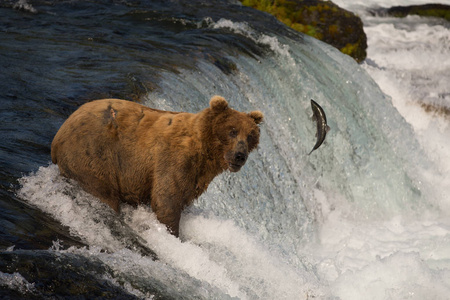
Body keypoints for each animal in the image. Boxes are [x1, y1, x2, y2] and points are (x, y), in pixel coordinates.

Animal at [50, 96, 264, 237]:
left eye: (250, 135)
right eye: (232, 131)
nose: (240, 156)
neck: (205, 152)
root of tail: (58, 135)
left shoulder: (195, 176)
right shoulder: (175, 159)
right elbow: (167, 199)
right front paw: (173, 234)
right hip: (92, 154)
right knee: (103, 193)